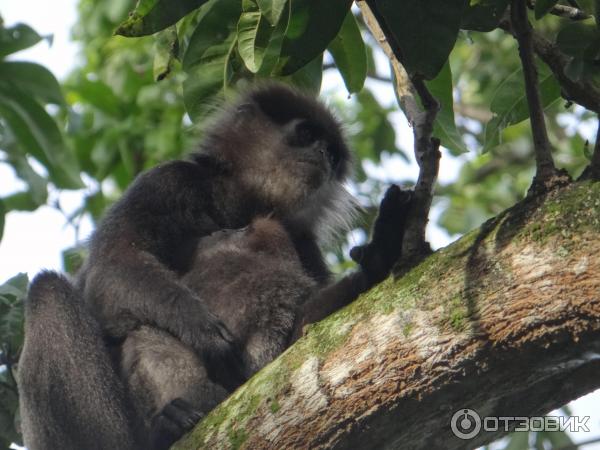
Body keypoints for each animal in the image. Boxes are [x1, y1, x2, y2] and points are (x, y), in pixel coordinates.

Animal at [18, 81, 412, 450]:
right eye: (305, 135)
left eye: (331, 153)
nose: (322, 157)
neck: (240, 202)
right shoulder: (169, 180)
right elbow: (110, 266)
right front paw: (201, 328)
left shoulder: (303, 241)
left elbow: (299, 337)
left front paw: (378, 258)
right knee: (51, 293)